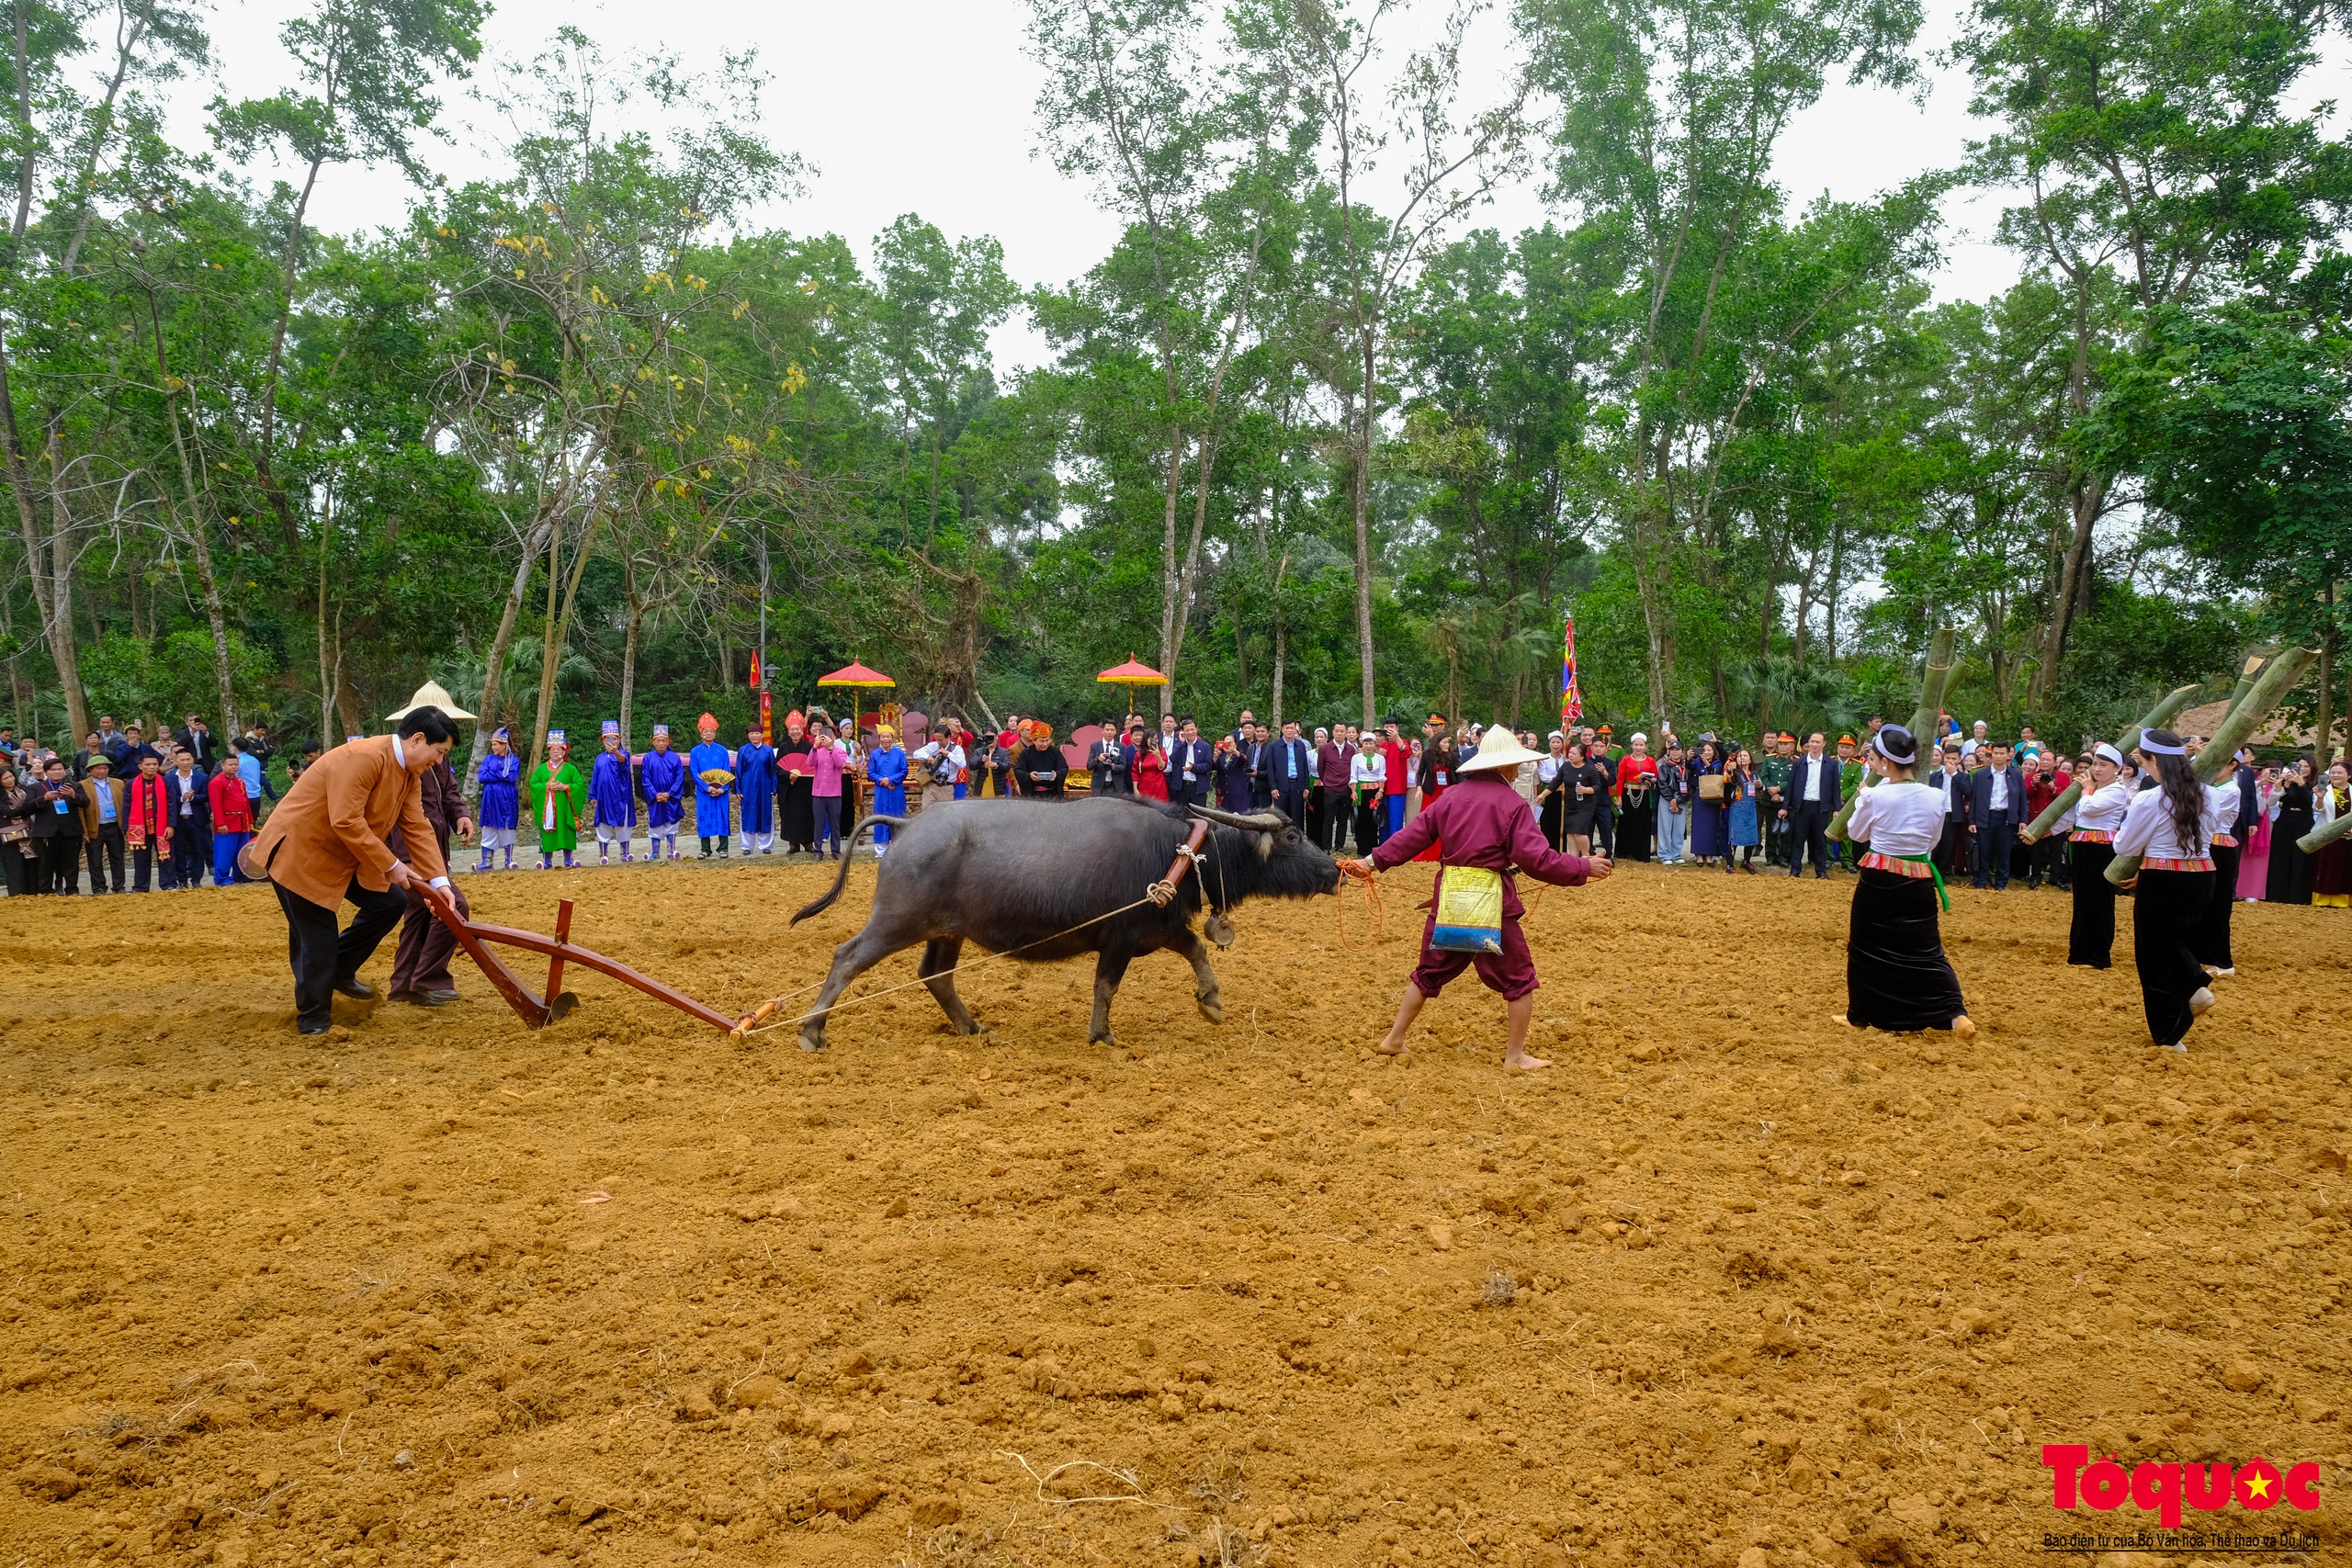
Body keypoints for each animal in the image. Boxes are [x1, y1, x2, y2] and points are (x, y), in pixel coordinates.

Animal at [790, 804, 1345, 1048]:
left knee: (936, 975)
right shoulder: (1120, 938)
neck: (1177, 853)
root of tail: (908, 824)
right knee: (847, 957)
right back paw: (812, 1031)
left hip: (948, 931)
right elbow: (1106, 987)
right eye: (1293, 835)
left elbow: (1196, 949)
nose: (1334, 870)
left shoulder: (1158, 927)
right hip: (897, 921)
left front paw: (1210, 1001)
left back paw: (972, 1027)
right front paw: (1101, 1034)